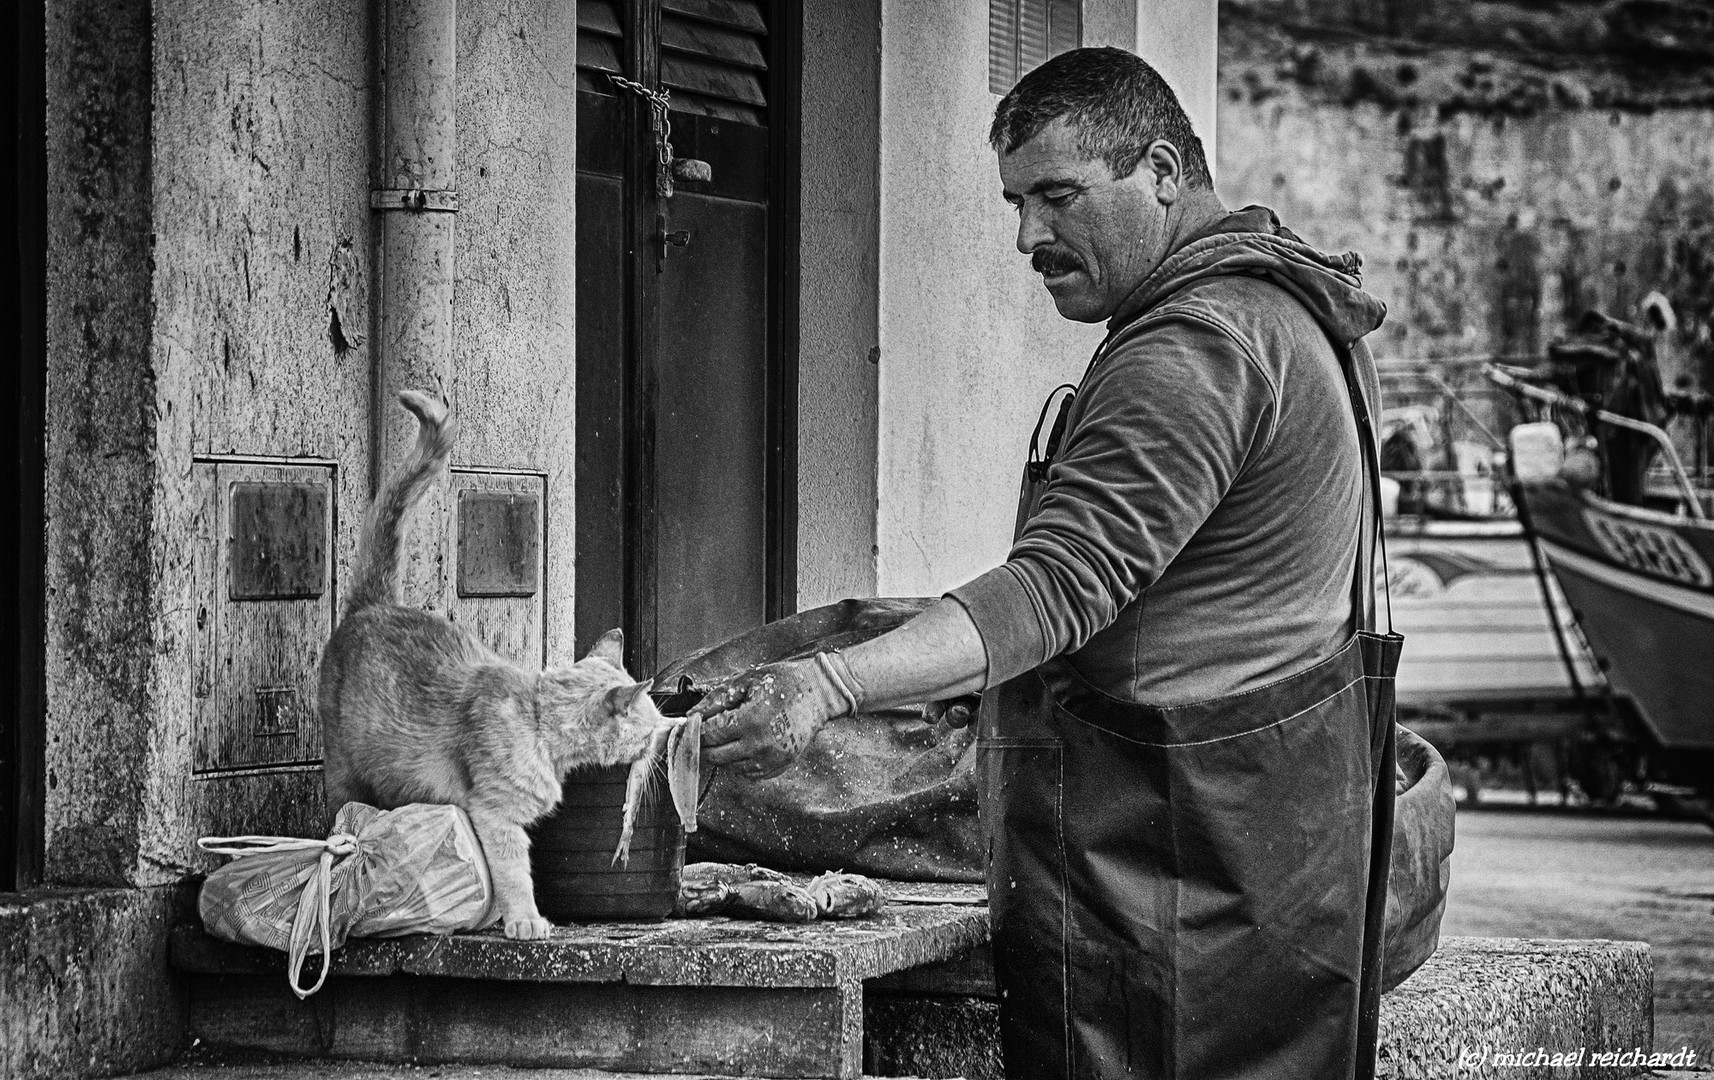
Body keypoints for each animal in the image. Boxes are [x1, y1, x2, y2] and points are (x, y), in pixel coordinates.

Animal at [318, 389, 671, 939]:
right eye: (651, 725)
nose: (664, 736)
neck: (537, 720)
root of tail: (373, 605)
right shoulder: (497, 816)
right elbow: (514, 874)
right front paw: (524, 920)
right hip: (342, 769)